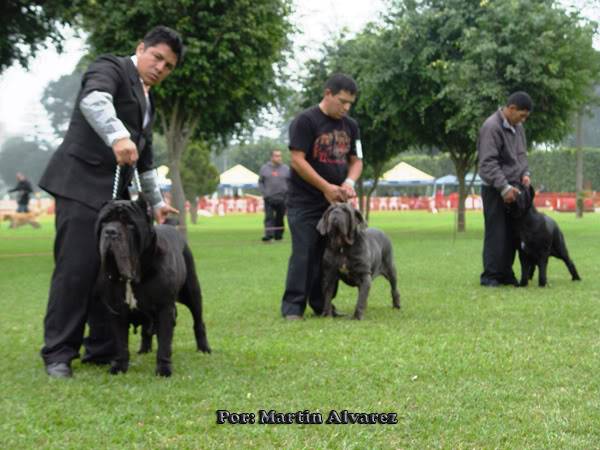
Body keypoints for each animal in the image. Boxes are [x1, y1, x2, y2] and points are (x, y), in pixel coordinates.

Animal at [96, 195, 211, 374]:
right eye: (103, 222)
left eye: (130, 224)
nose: (110, 231)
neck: (134, 274)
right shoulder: (117, 311)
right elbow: (121, 343)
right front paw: (119, 366)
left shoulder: (164, 308)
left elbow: (164, 342)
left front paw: (163, 369)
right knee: (146, 329)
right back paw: (144, 349)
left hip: (192, 293)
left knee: (198, 321)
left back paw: (204, 349)